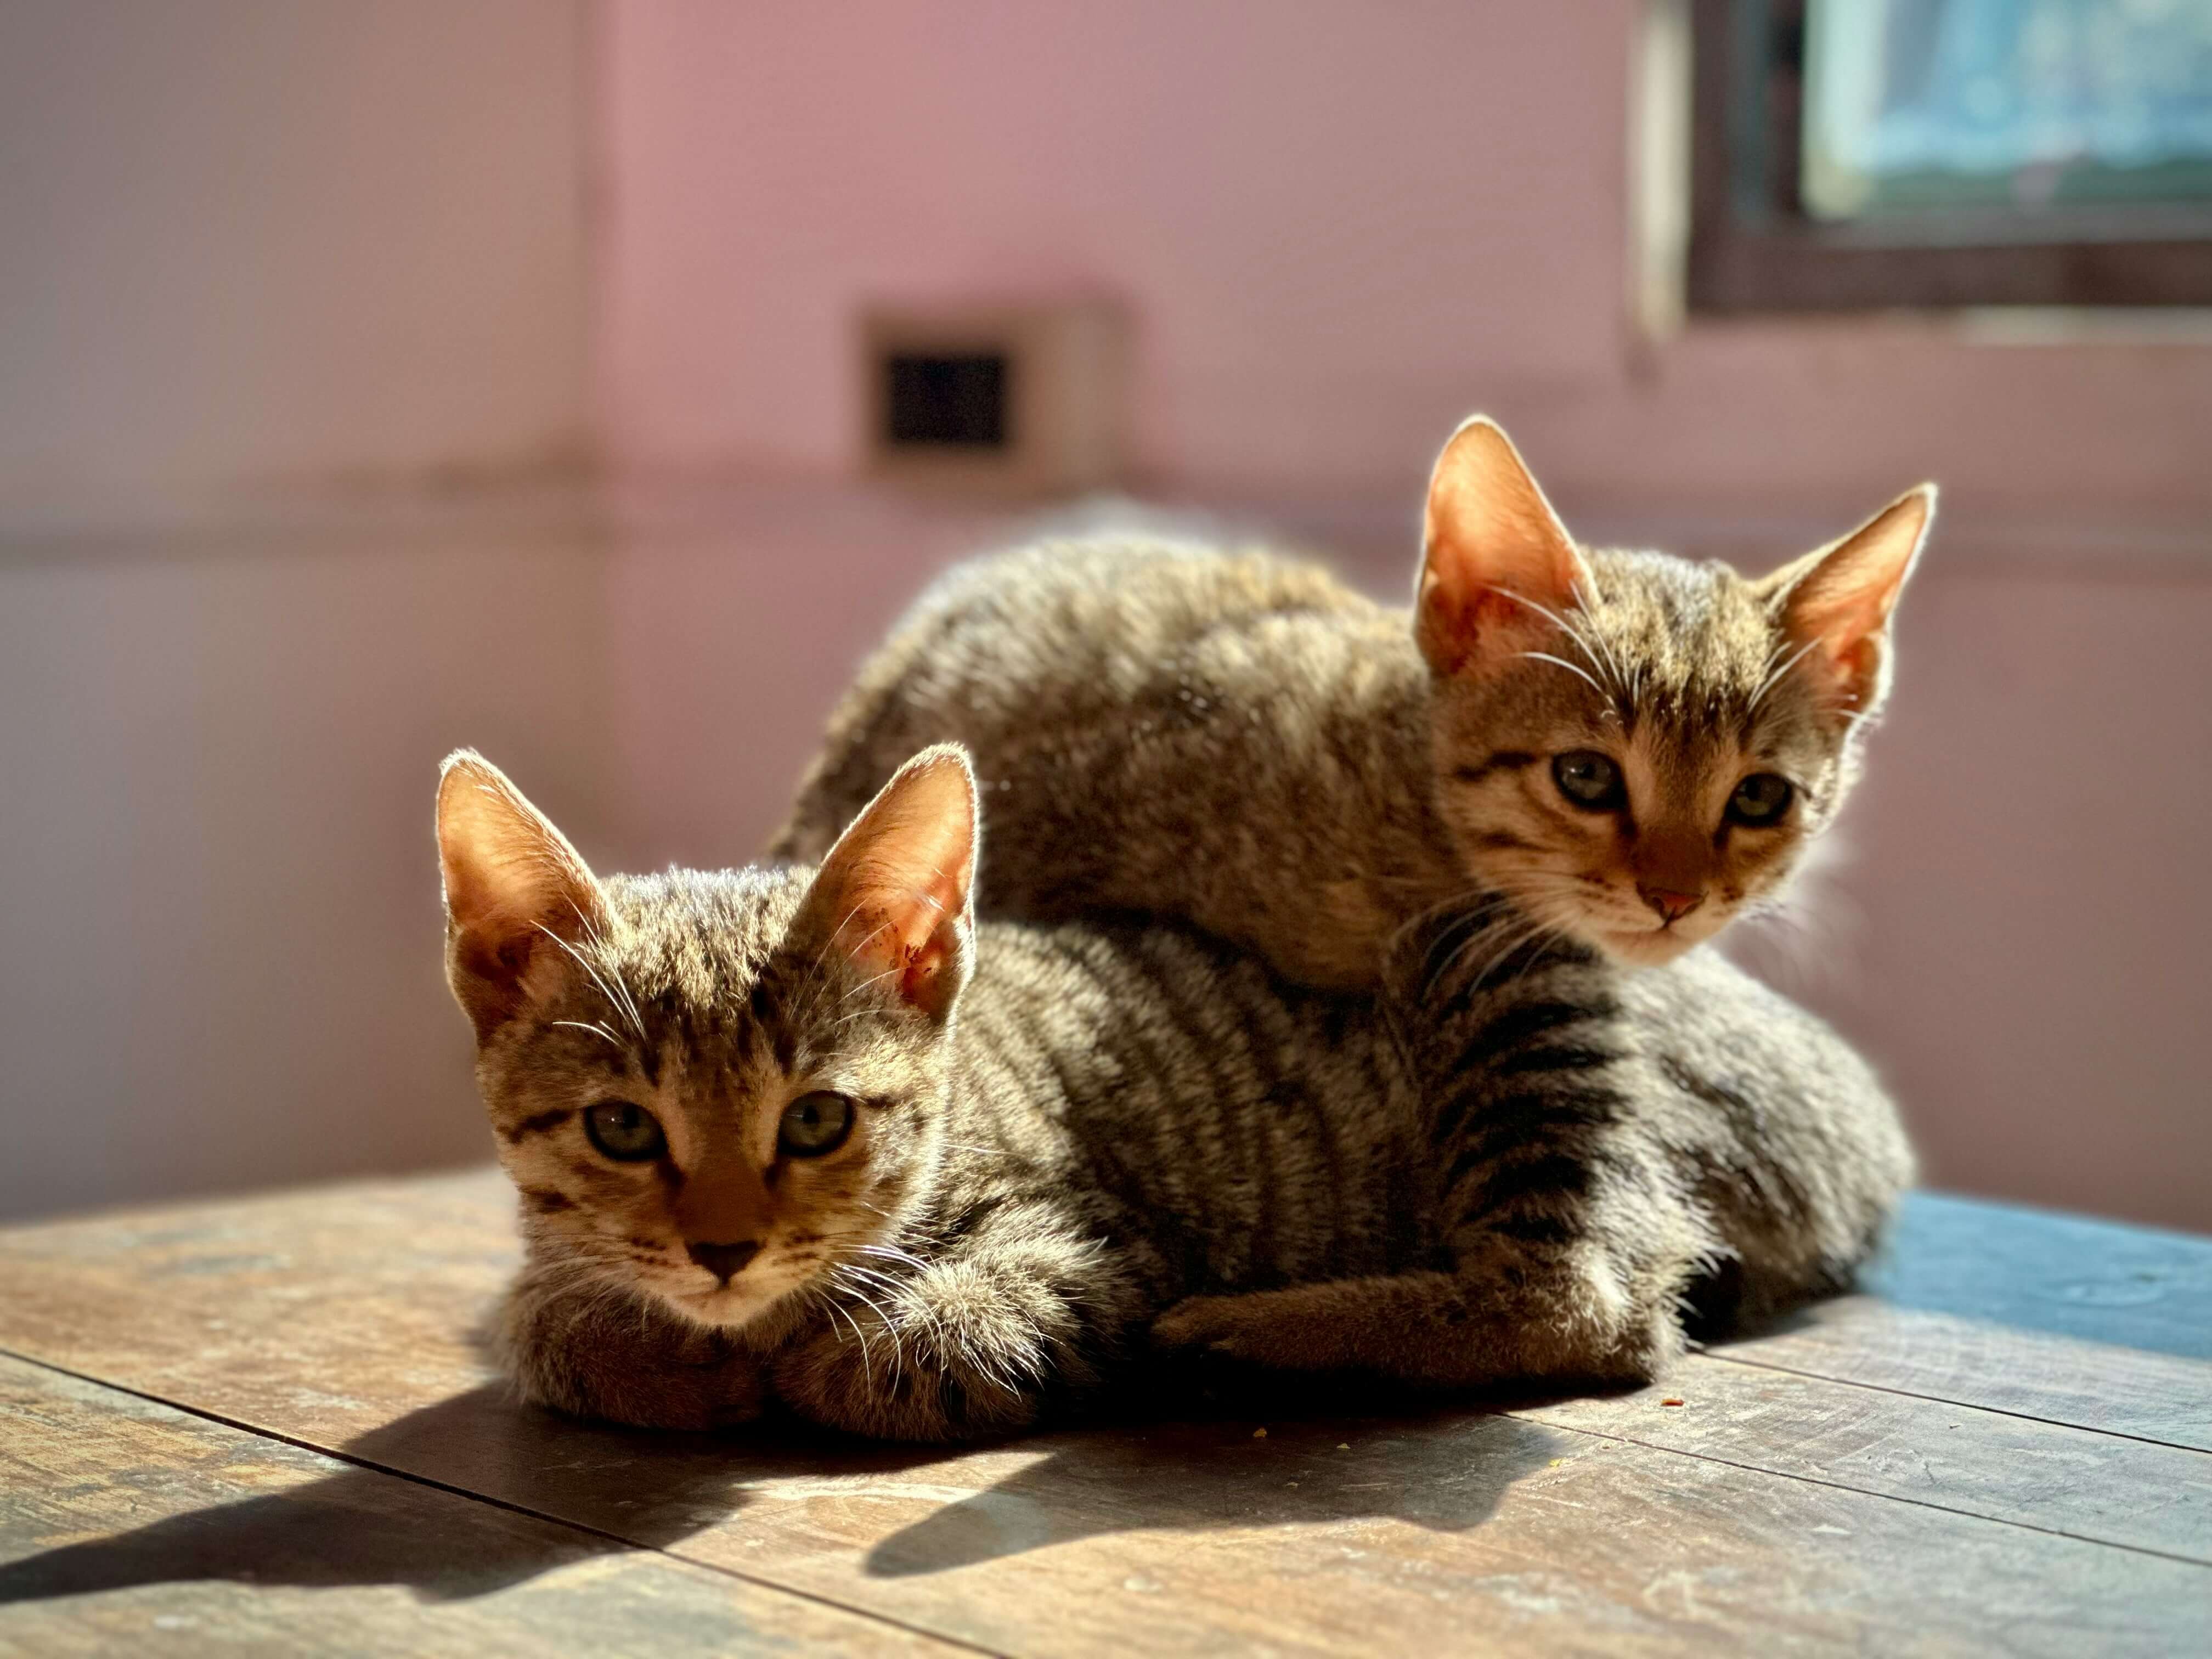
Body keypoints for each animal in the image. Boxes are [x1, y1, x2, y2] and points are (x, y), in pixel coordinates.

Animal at [440, 752, 1911, 1442]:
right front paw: (655, 1349)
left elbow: (904, 1348)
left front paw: (804, 1356)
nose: (725, 1248)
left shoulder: (1100, 1241)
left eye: (818, 1120)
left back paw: (1260, 1336)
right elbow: (547, 1318)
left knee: (1596, 1308)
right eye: (622, 1127)